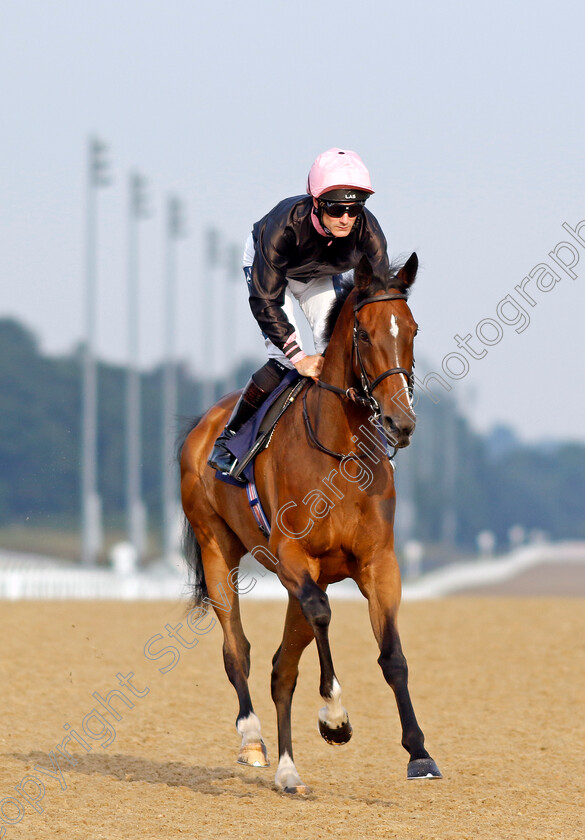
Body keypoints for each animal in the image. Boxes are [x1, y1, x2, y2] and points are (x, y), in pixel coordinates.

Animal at [180, 253, 440, 792]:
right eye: (363, 334)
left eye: (412, 329)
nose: (401, 423)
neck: (341, 455)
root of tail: (202, 425)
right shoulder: (294, 557)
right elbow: (322, 614)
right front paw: (335, 718)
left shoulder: (378, 562)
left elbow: (393, 655)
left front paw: (419, 752)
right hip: (217, 549)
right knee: (238, 649)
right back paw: (254, 741)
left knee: (282, 667)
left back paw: (288, 769)